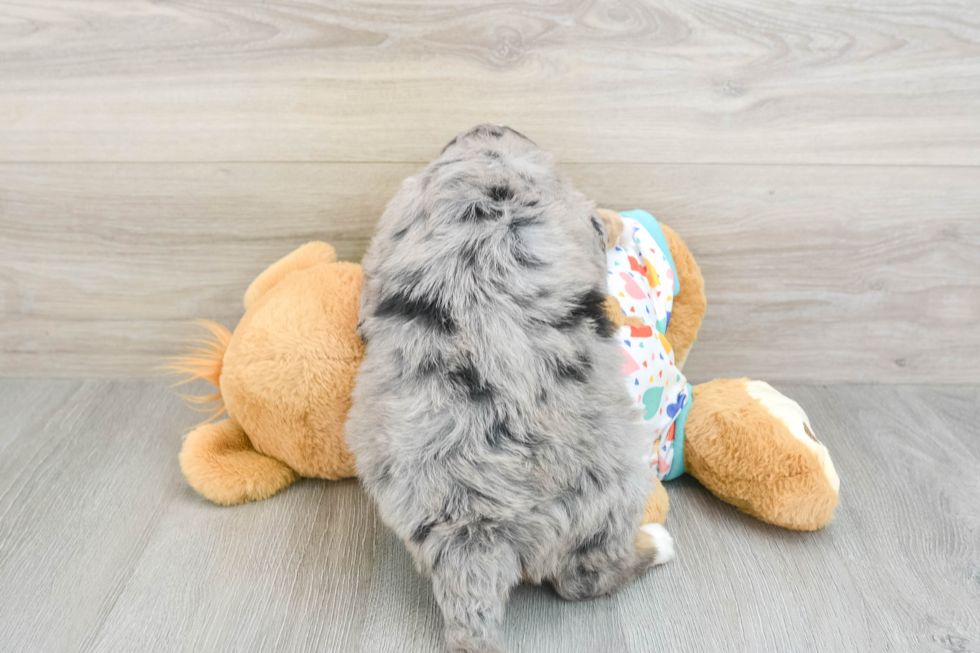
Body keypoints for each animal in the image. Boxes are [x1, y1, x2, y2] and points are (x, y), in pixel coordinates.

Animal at [344, 125, 672, 648]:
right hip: (611, 499)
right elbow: (598, 222)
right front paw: (618, 220)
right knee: (585, 580)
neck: (487, 165)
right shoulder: (574, 211)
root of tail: (479, 531)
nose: (486, 125)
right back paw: (657, 543)